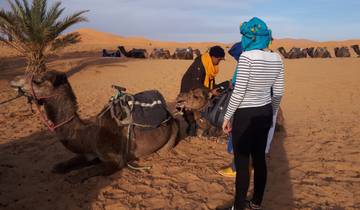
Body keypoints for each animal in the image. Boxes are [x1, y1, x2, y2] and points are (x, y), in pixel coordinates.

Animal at [10, 70, 179, 182]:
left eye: (38, 80)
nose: (14, 80)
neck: (89, 135)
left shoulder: (115, 160)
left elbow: (84, 172)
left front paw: (73, 176)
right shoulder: (89, 153)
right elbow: (65, 163)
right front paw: (59, 167)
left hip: (172, 131)